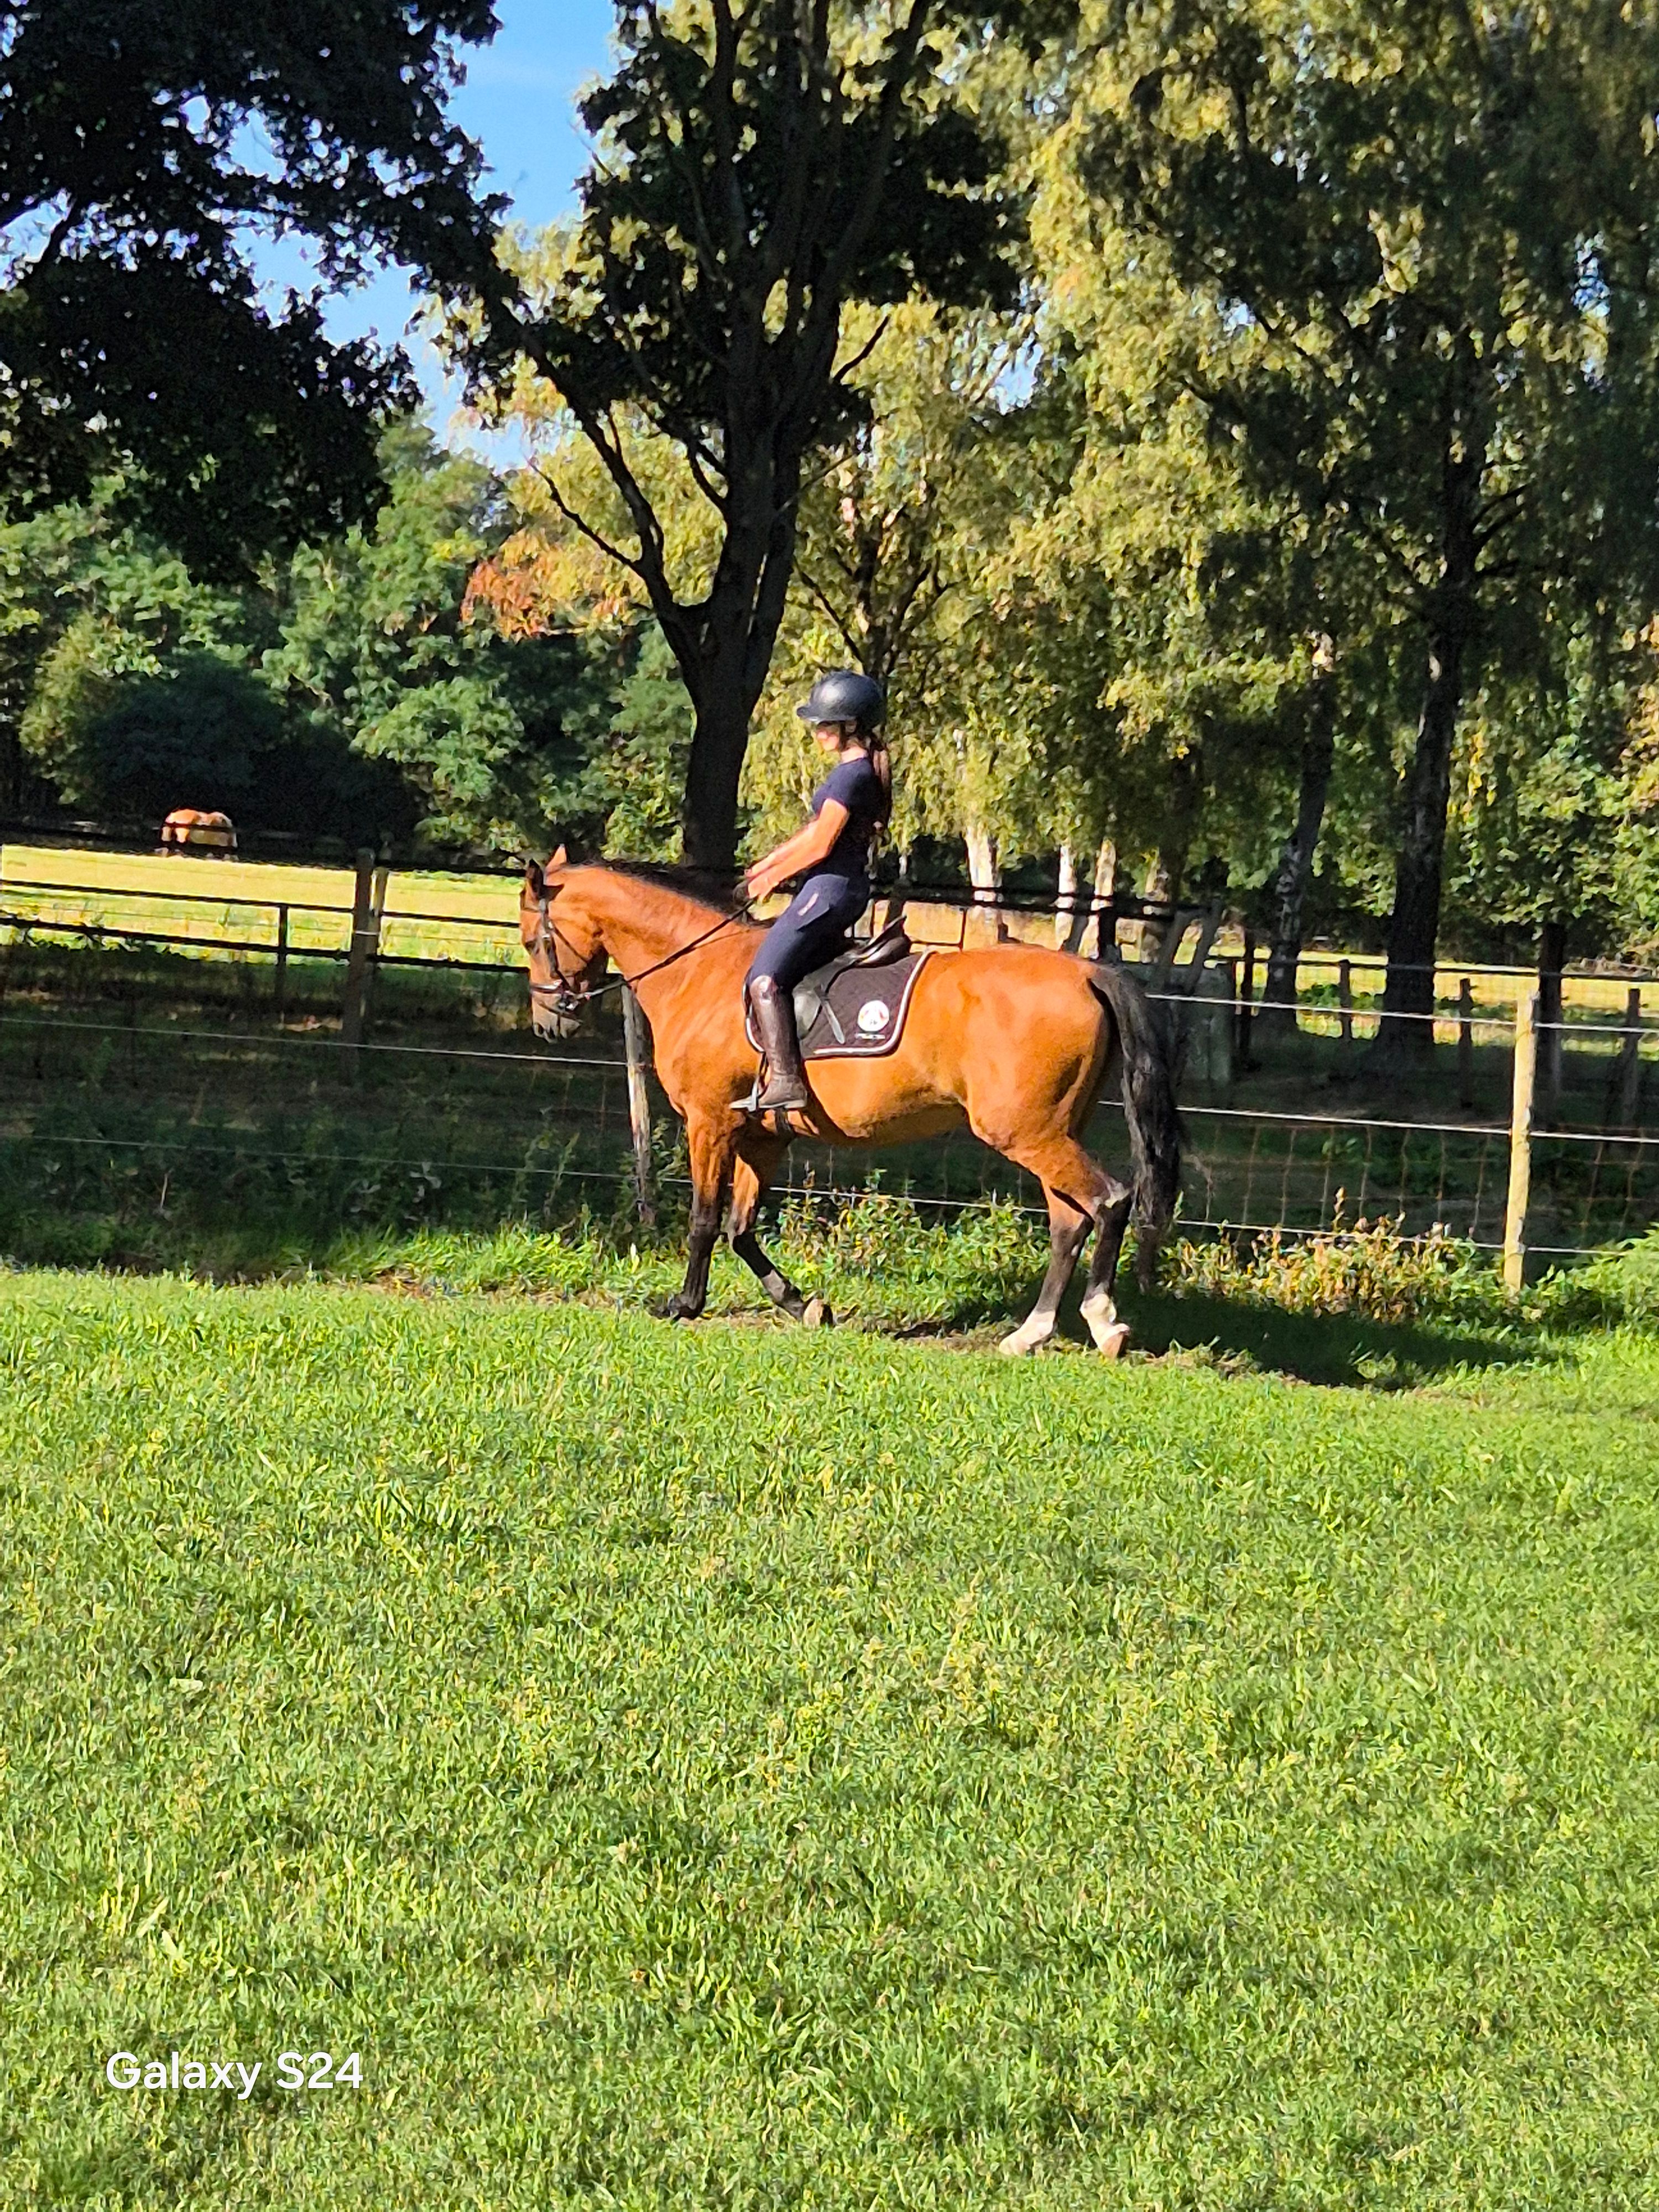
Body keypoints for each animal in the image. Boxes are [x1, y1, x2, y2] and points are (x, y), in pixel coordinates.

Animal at [521, 852, 1181, 1357]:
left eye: (532, 940)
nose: (549, 1023)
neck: (698, 972)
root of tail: (1087, 971)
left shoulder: (711, 1125)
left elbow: (706, 1221)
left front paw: (684, 1304)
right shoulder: (763, 1137)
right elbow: (741, 1229)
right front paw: (803, 1304)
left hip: (1028, 1133)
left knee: (1108, 1201)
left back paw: (1103, 1321)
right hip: (1049, 1130)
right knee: (1070, 1222)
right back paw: (1031, 1333)